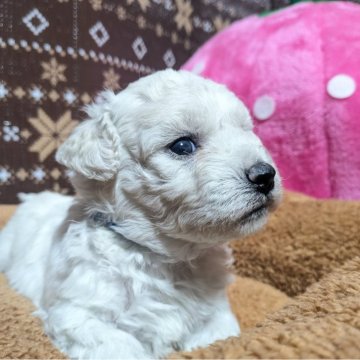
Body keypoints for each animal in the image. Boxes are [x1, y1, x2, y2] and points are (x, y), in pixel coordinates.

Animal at [0, 69, 282, 358]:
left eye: (246, 132)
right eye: (182, 146)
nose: (265, 175)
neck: (162, 256)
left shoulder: (215, 314)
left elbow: (221, 337)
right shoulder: (77, 312)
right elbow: (122, 345)